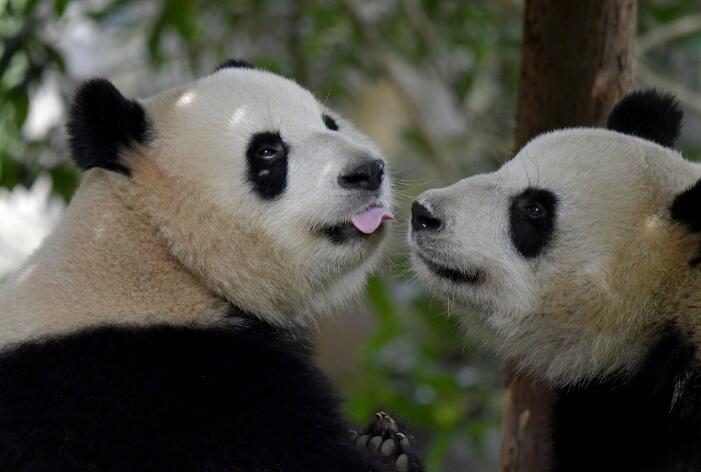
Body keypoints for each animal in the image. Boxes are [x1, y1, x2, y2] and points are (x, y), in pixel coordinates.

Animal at [0, 60, 422, 472]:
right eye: (267, 151)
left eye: (329, 123)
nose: (368, 172)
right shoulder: (170, 386)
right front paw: (386, 452)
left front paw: (384, 440)